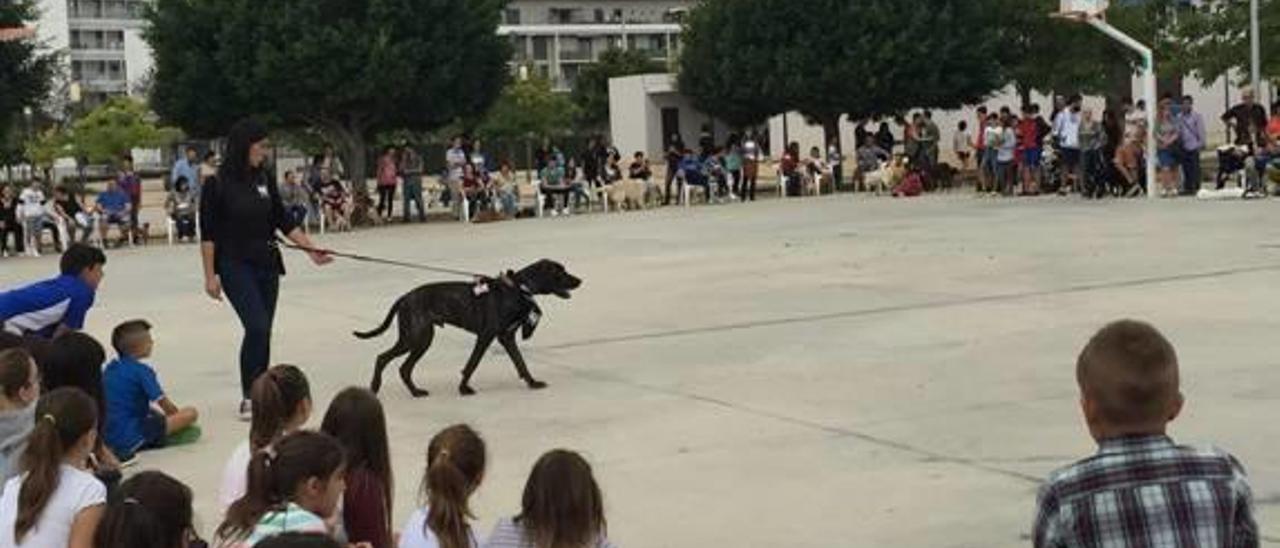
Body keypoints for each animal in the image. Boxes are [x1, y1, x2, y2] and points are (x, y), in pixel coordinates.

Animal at [355, 258, 586, 396]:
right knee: (383, 358)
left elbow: (520, 363)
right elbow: (472, 363)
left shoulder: (506, 337)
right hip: (414, 337)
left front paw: (532, 382)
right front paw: (464, 388)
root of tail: (404, 297)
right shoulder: (486, 335)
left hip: (422, 339)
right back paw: (375, 387)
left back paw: (416, 392)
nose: (580, 280)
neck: (519, 289)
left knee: (404, 368)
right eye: (560, 272)